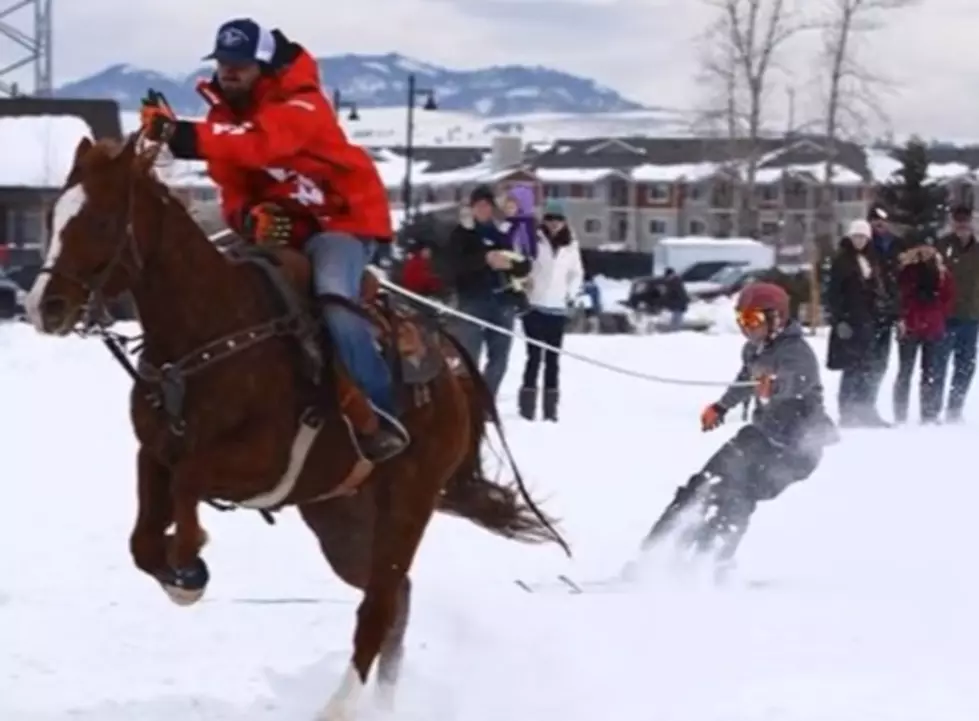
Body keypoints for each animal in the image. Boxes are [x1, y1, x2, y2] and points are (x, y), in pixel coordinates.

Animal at [23, 134, 572, 720]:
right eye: (54, 217)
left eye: (103, 220)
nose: (44, 306)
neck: (210, 332)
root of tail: (449, 372)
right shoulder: (152, 455)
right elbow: (143, 540)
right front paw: (180, 573)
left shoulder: (257, 464)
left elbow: (190, 485)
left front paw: (189, 566)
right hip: (340, 518)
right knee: (395, 597)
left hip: (409, 499)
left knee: (378, 606)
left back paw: (338, 707)